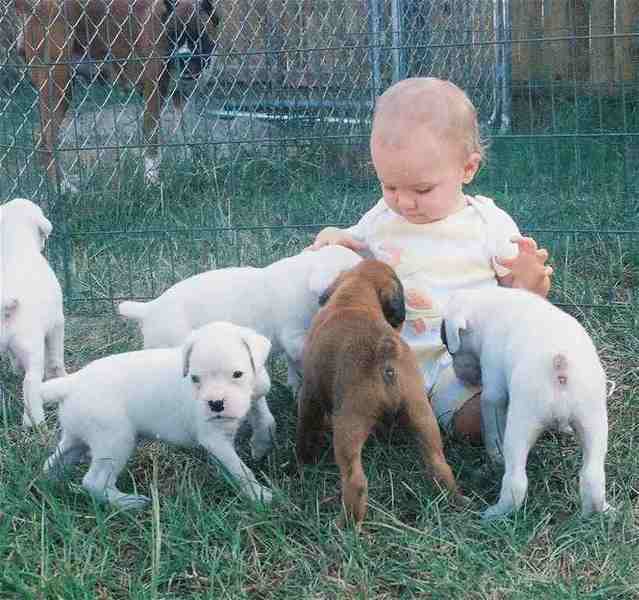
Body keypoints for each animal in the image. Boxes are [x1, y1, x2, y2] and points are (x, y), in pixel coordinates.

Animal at [0, 198, 65, 426]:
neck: (18, 247)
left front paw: (14, 368)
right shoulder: (57, 324)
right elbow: (55, 359)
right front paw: (62, 376)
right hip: (32, 347)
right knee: (30, 384)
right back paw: (34, 422)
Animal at [15, 0, 220, 193]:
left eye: (199, 37)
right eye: (172, 36)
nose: (183, 57)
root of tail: (35, 10)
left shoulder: (184, 97)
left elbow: (186, 133)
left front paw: (190, 165)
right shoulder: (154, 95)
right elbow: (152, 141)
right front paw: (151, 181)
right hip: (58, 87)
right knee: (46, 141)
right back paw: (63, 187)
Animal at [40, 322, 276, 508]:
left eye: (237, 374)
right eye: (195, 379)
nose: (215, 404)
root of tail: (71, 383)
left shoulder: (256, 394)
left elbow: (263, 417)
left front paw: (260, 445)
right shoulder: (215, 438)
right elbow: (241, 470)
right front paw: (259, 495)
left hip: (76, 438)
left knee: (54, 461)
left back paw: (53, 485)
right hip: (114, 442)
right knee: (94, 481)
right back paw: (127, 502)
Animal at [296, 258, 464, 524]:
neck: (353, 299)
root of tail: (384, 354)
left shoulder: (309, 393)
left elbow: (305, 427)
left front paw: (302, 460)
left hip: (349, 425)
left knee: (355, 482)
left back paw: (345, 524)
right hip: (422, 415)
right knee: (439, 465)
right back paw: (454, 498)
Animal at [442, 288, 612, 520]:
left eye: (449, 348)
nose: (463, 379)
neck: (488, 306)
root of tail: (560, 367)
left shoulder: (493, 388)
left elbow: (491, 420)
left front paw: (495, 455)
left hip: (521, 426)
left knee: (516, 483)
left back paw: (494, 514)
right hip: (593, 421)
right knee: (592, 477)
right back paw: (598, 512)